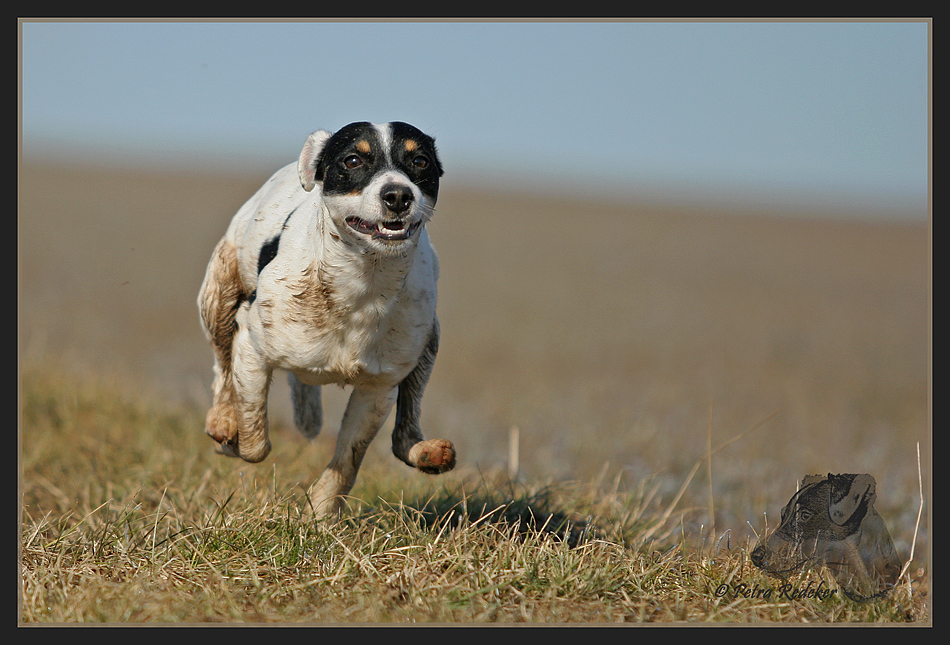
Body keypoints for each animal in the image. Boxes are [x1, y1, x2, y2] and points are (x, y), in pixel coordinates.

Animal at [197, 119, 458, 512]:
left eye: (420, 161)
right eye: (352, 160)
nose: (398, 195)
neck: (363, 282)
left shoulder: (377, 389)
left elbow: (347, 461)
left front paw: (319, 513)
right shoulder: (252, 348)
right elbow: (255, 440)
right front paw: (231, 435)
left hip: (429, 342)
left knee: (404, 433)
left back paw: (426, 452)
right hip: (218, 293)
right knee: (221, 364)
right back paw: (224, 419)